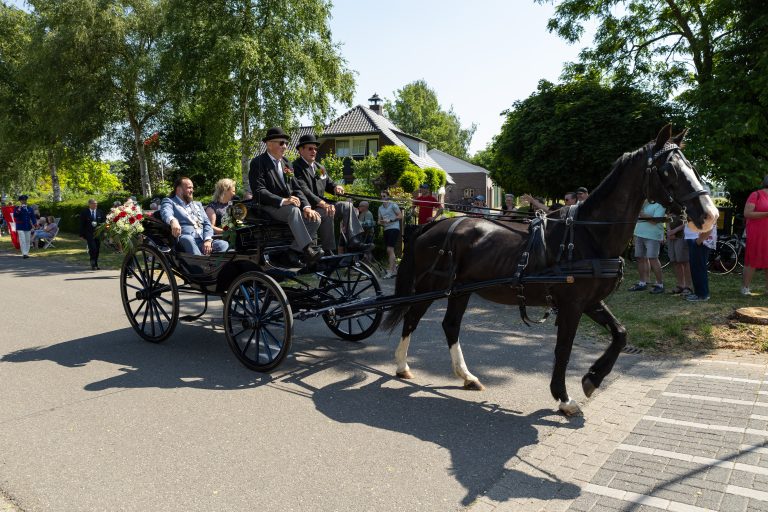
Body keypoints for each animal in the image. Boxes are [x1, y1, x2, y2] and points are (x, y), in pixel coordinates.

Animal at [384, 125, 720, 416]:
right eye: (669, 170)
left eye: (691, 166)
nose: (709, 215)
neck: (587, 235)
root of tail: (435, 225)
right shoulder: (572, 306)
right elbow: (563, 350)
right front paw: (564, 397)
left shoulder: (591, 302)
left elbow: (620, 335)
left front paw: (592, 378)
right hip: (431, 286)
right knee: (412, 317)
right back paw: (402, 366)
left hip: (460, 290)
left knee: (450, 325)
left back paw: (466, 376)